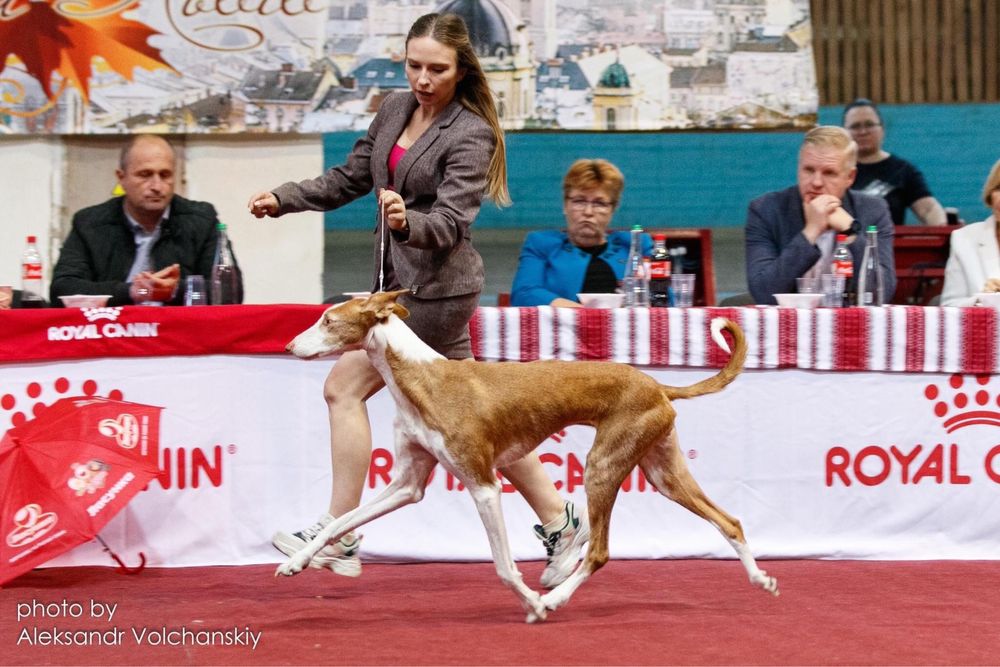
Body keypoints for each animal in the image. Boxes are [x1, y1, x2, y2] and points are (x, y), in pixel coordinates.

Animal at [278, 292, 776, 628]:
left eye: (327, 320)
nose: (288, 347)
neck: (422, 377)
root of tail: (657, 386)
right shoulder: (407, 483)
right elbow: (342, 522)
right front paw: (297, 562)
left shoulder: (483, 485)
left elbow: (502, 566)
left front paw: (534, 605)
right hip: (662, 471)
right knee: (730, 520)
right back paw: (761, 580)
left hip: (603, 467)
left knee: (599, 551)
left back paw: (556, 599)